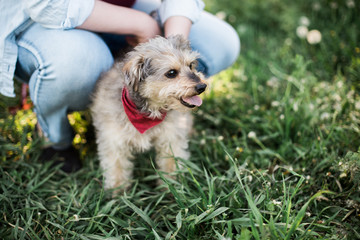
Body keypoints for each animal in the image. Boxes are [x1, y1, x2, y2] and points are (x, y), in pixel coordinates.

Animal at [90, 35, 208, 191]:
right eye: (171, 73)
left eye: (190, 65)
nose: (202, 86)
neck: (147, 113)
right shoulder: (113, 140)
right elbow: (116, 167)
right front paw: (118, 192)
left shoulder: (170, 138)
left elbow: (171, 164)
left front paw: (172, 187)